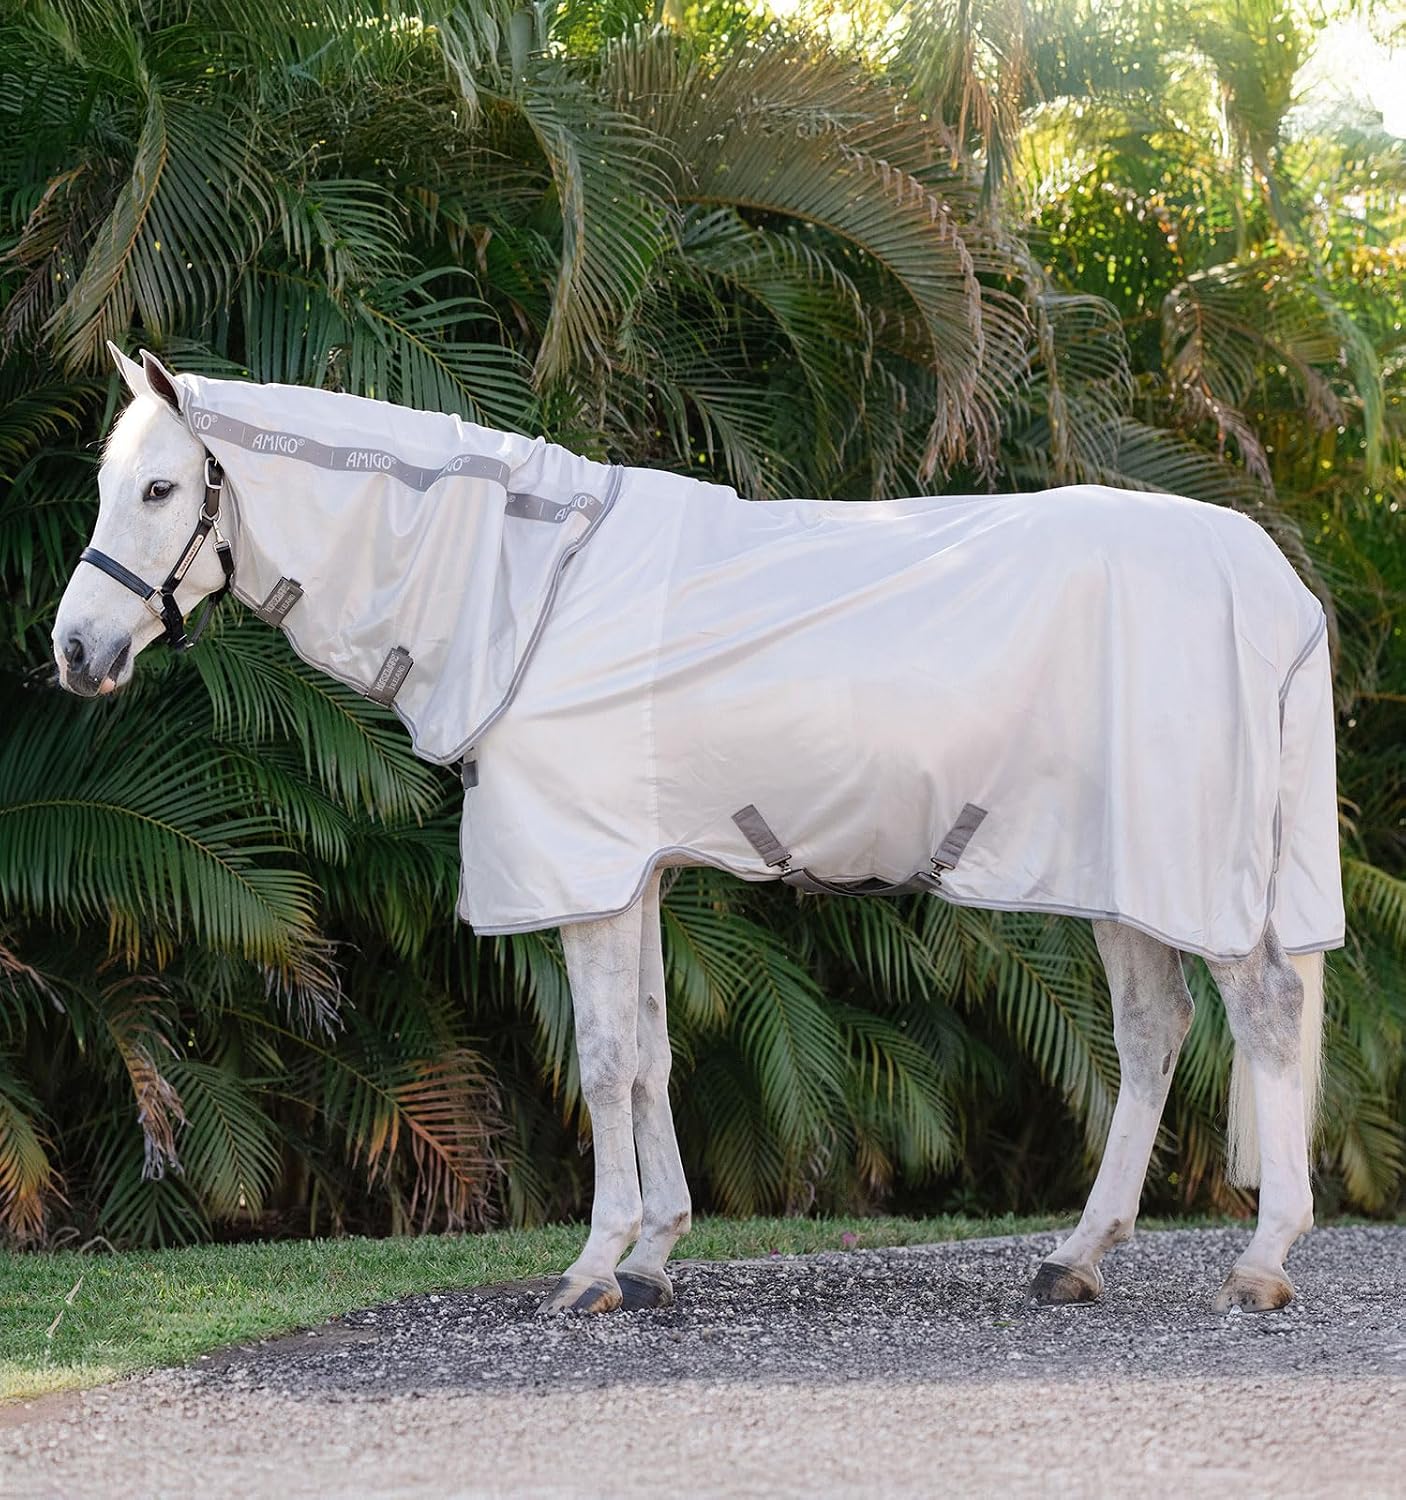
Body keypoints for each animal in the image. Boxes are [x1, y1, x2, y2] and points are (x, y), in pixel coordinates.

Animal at [53, 345, 1342, 1315]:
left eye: (161, 490)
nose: (74, 651)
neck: (526, 589)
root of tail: (1272, 584)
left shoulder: (581, 874)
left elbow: (602, 1059)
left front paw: (592, 1266)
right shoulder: (634, 875)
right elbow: (652, 1052)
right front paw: (657, 1252)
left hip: (1186, 869)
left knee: (1263, 1012)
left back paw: (1262, 1259)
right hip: (1121, 872)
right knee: (1154, 1033)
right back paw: (1076, 1256)